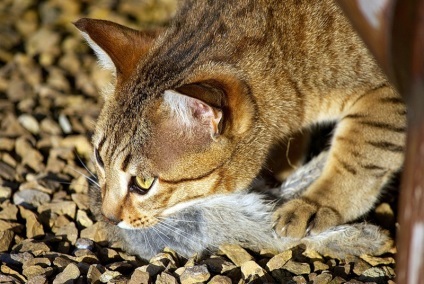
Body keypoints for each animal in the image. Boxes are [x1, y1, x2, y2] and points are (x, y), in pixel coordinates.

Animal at [74, 0, 406, 258]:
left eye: (143, 183)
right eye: (100, 159)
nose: (107, 217)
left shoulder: (388, 94)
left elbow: (362, 153)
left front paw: (316, 205)